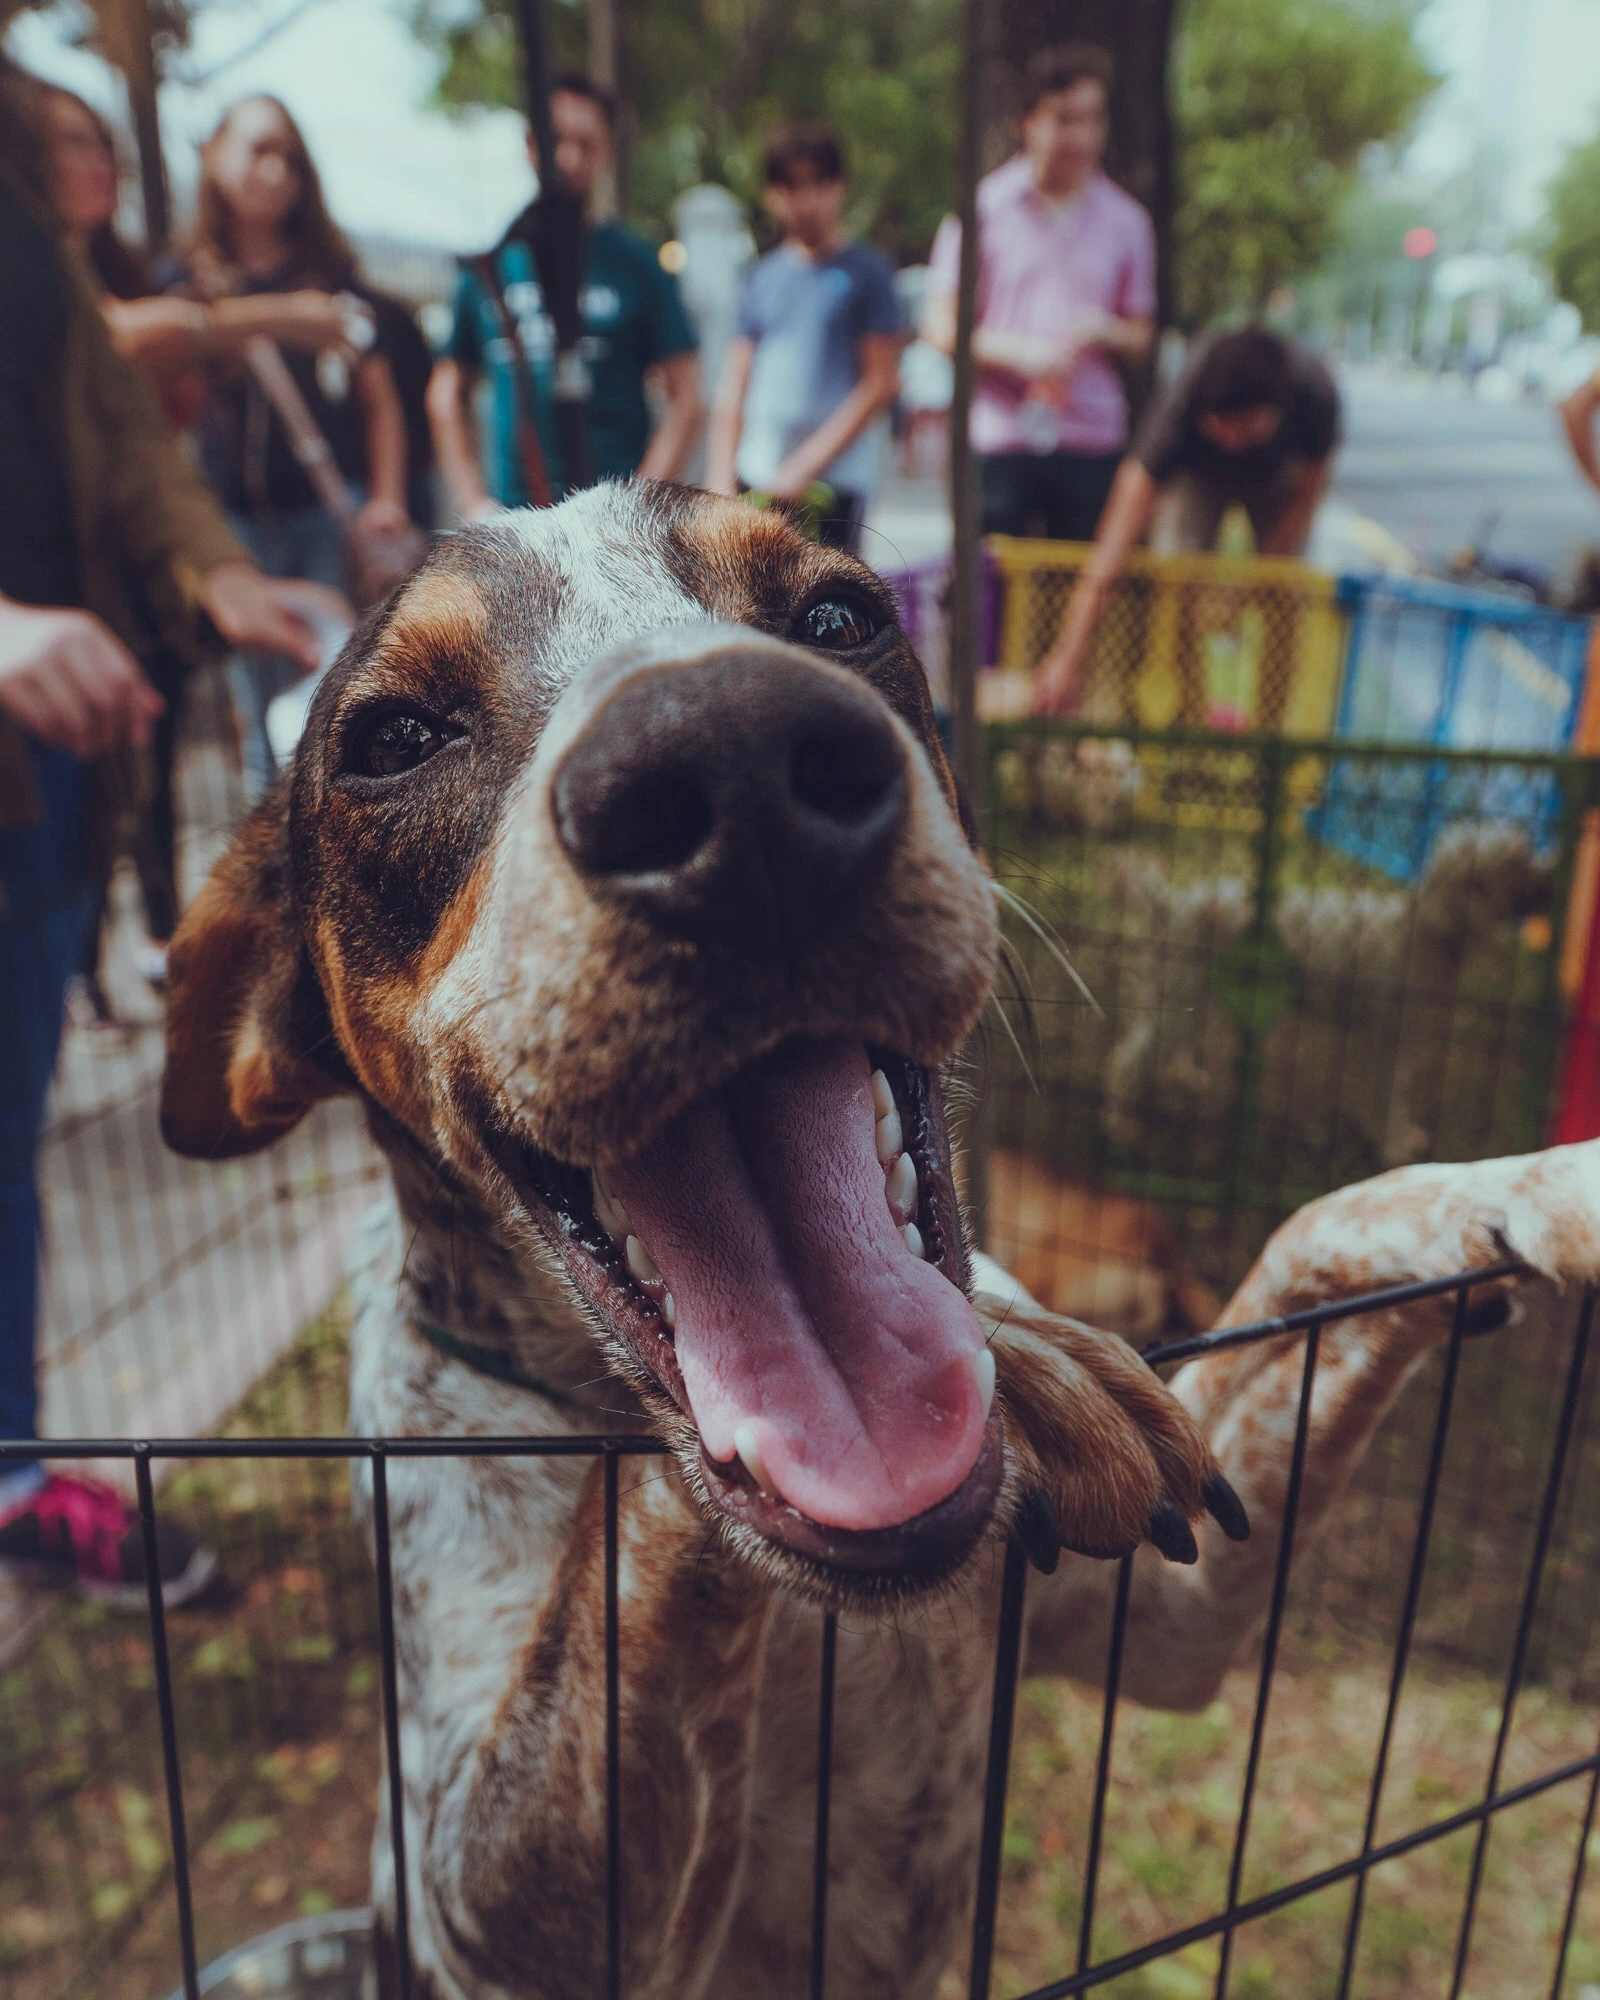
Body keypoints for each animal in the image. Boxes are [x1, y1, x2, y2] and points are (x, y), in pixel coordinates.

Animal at [159, 488, 1600, 2000]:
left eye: (840, 614)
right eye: (392, 739)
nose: (731, 763)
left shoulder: (1182, 1618)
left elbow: (1328, 1217)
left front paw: (1545, 1179)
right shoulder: (490, 1905)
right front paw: (1033, 1359)